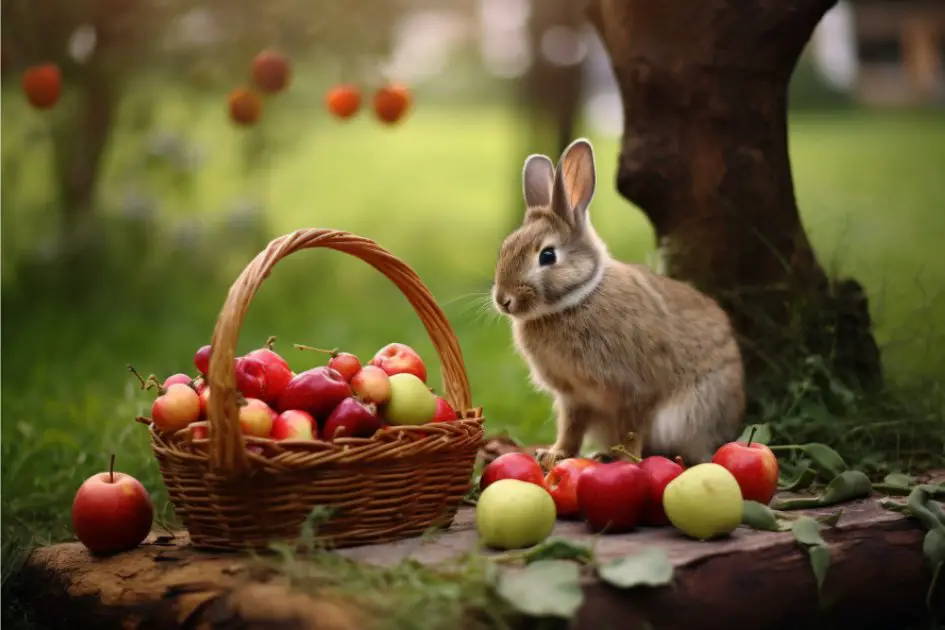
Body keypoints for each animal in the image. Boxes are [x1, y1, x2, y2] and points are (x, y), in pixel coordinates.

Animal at [494, 141, 744, 472]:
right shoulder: (573, 397)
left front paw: (624, 460)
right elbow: (570, 427)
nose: (503, 300)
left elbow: (632, 428)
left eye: (547, 256)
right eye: (505, 248)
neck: (576, 300)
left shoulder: (636, 391)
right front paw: (555, 455)